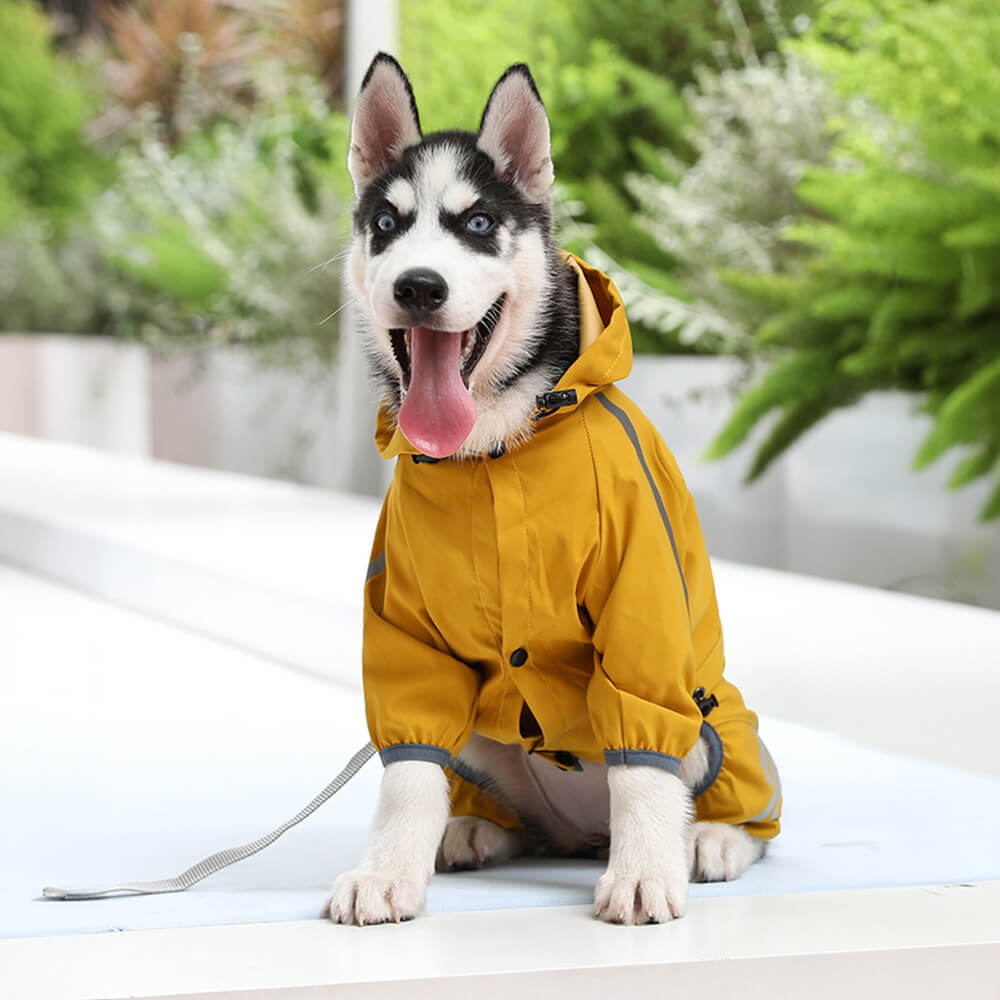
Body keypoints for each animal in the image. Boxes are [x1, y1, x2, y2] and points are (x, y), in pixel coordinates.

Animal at [324, 56, 776, 928]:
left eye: (477, 224)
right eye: (387, 224)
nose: (419, 287)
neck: (495, 448)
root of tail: (580, 831)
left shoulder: (640, 598)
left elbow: (643, 763)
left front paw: (646, 872)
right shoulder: (404, 624)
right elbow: (408, 771)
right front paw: (388, 870)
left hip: (710, 718)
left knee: (703, 790)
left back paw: (710, 840)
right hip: (482, 736)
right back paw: (476, 829)